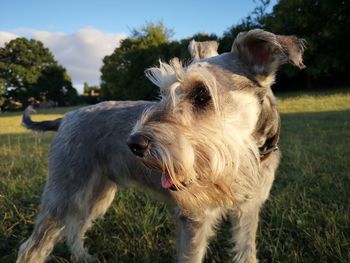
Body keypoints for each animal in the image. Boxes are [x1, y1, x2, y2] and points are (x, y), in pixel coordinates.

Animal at [17, 29, 304, 262]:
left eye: (202, 93)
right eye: (163, 93)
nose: (133, 143)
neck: (249, 157)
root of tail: (66, 117)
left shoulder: (248, 212)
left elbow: (246, 253)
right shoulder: (196, 219)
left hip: (98, 195)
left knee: (76, 227)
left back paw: (82, 256)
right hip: (64, 195)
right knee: (33, 246)